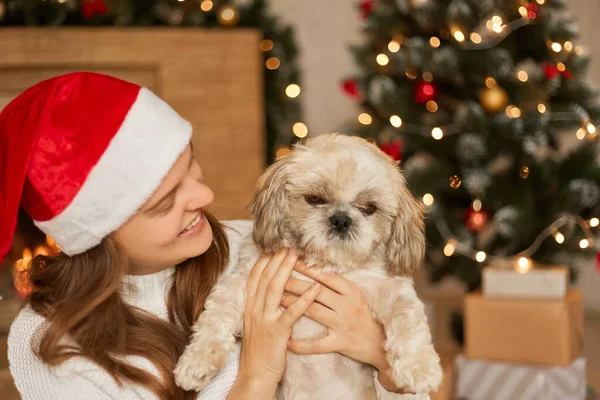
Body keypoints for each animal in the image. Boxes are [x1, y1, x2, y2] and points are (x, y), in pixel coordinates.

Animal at [173, 134, 440, 400]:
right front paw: (196, 361)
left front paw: (421, 368)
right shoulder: (244, 279)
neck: (324, 263)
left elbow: (407, 319)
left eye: (369, 208)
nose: (341, 219)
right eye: (314, 199)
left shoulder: (390, 289)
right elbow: (216, 315)